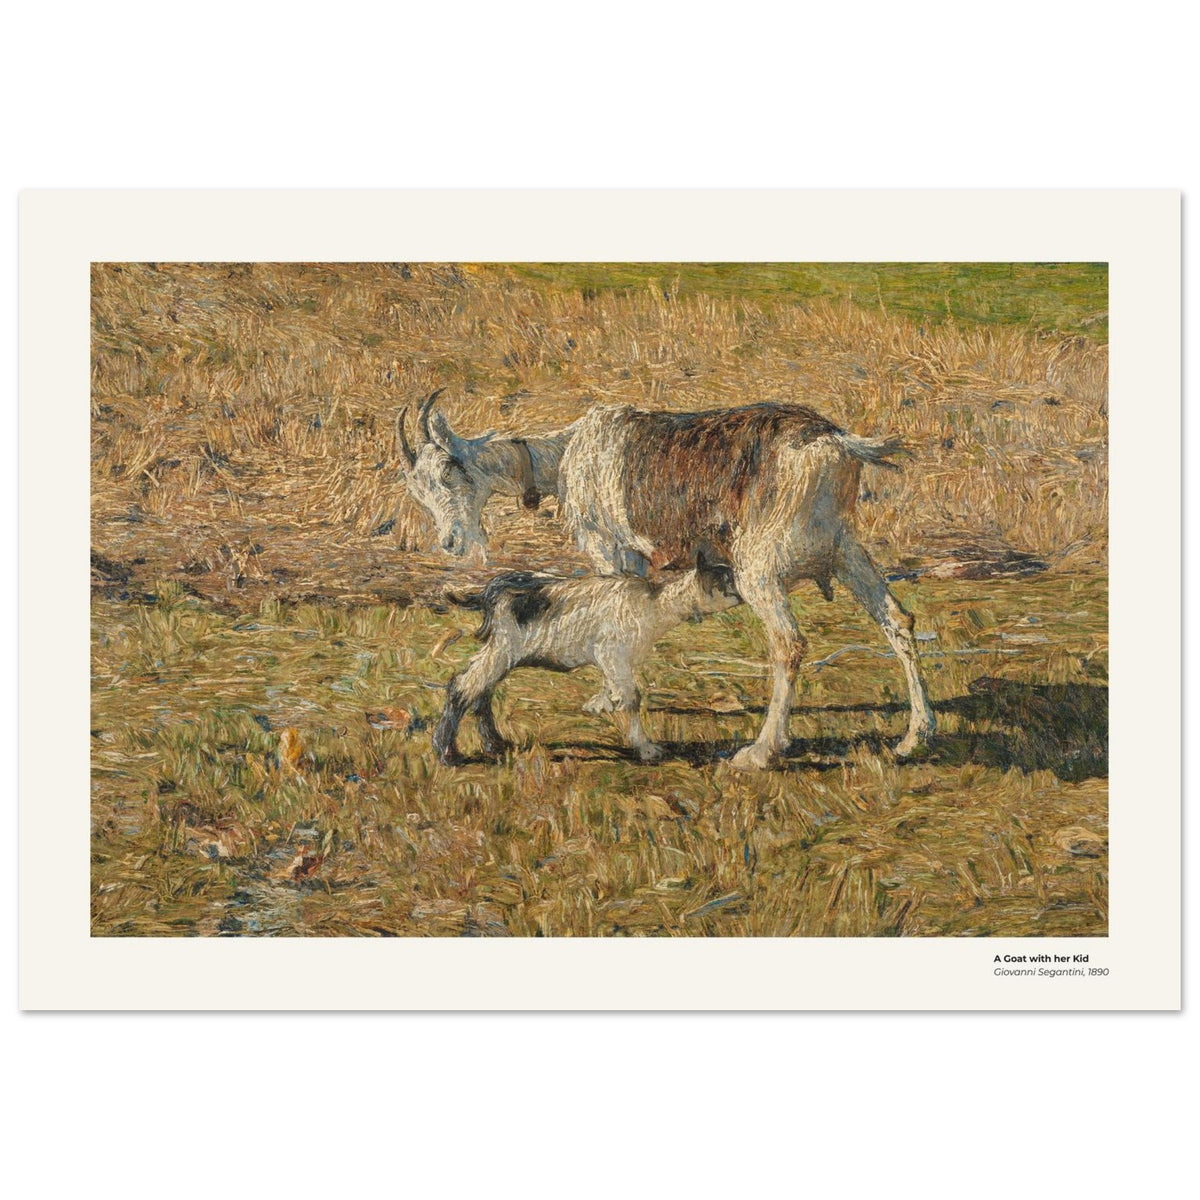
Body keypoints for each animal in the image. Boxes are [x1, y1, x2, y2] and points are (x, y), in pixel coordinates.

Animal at [433, 560, 742, 765]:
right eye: (727, 581)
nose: (744, 594)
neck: (654, 604)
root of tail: (489, 591)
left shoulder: (611, 660)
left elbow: (612, 687)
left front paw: (599, 704)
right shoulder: (613, 653)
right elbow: (632, 698)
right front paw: (645, 748)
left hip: (500, 651)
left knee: (480, 691)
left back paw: (495, 744)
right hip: (504, 648)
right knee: (463, 687)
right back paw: (448, 753)